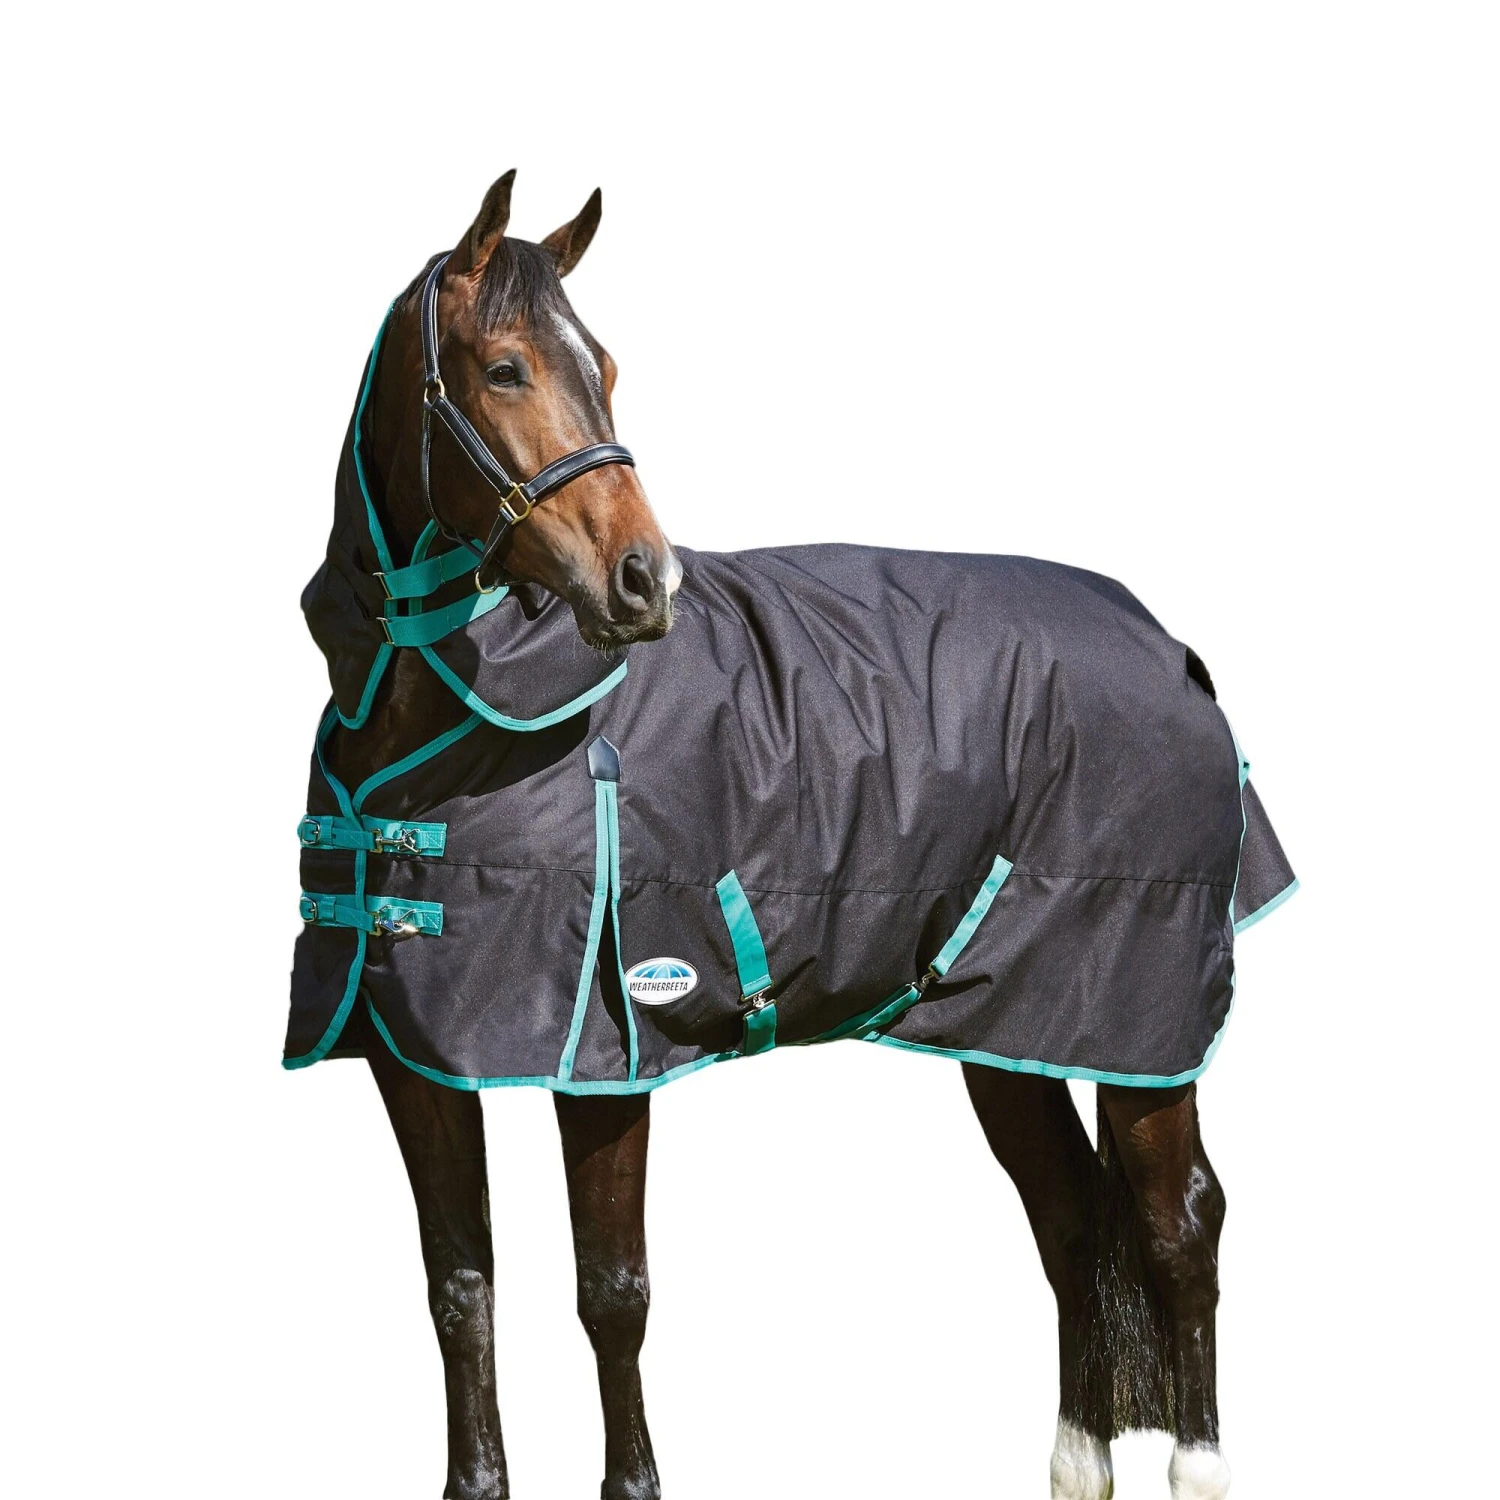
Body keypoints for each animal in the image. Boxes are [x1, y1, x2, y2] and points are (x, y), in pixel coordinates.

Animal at [289, 171, 1295, 1500]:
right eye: (504, 368)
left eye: (608, 366)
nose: (644, 584)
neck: (468, 710)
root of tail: (1169, 646)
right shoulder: (417, 1058)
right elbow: (461, 1291)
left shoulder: (608, 1053)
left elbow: (612, 1295)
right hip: (1014, 1025)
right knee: (1075, 1221)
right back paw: (1078, 1463)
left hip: (1145, 1028)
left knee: (1180, 1225)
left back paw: (1197, 1464)